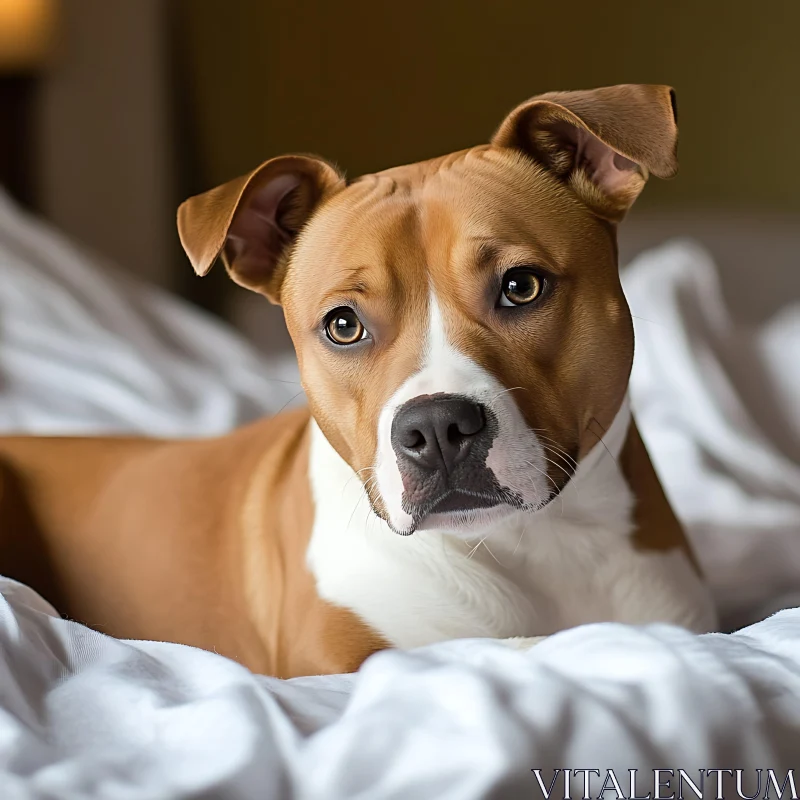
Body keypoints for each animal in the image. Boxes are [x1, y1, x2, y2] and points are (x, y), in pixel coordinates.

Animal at [0, 86, 716, 676]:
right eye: (343, 325)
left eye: (521, 287)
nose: (436, 426)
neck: (536, 545)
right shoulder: (335, 661)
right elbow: (492, 650)